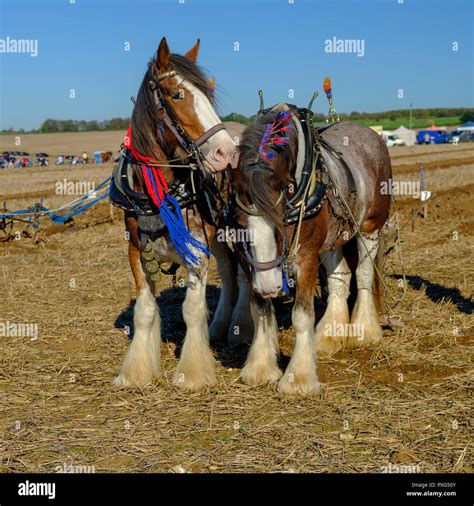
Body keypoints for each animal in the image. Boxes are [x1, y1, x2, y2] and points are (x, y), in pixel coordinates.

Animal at [111, 38, 250, 392]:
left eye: (209, 95)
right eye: (176, 95)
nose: (226, 153)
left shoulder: (196, 250)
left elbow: (192, 310)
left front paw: (193, 372)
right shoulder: (135, 249)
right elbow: (145, 309)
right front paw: (137, 371)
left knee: (244, 274)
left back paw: (241, 327)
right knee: (228, 272)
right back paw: (220, 326)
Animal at [231, 103, 390, 396]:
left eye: (281, 221)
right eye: (239, 223)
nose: (269, 287)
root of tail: (370, 134)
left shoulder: (305, 258)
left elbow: (301, 316)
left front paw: (299, 378)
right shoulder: (250, 265)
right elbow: (260, 310)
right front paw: (260, 368)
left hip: (370, 227)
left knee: (363, 275)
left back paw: (364, 330)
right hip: (333, 238)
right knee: (340, 278)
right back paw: (328, 335)